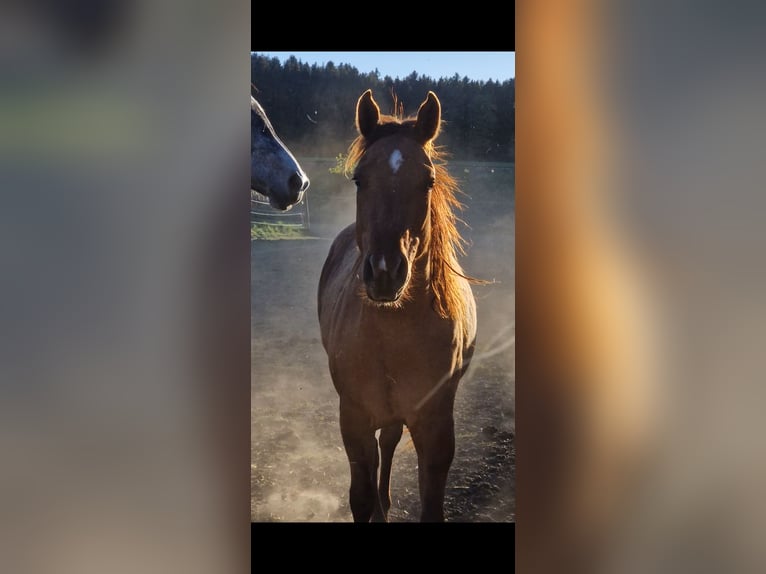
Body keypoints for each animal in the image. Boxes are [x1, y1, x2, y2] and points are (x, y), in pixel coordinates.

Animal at [317, 90, 478, 522]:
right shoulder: (353, 419)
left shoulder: (436, 428)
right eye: (359, 178)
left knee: (387, 444)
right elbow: (360, 495)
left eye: (428, 181)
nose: (385, 273)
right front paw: (372, 506)